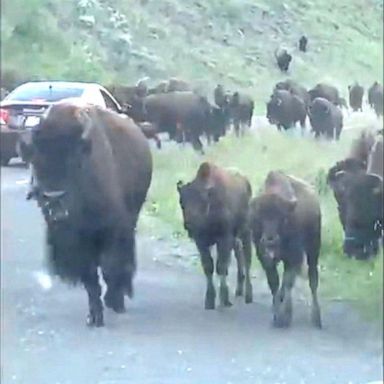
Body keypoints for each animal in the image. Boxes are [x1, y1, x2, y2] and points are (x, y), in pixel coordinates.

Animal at [28, 103, 153, 328]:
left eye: (75, 162)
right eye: (36, 160)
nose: (55, 202)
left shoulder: (111, 231)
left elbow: (110, 267)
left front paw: (113, 301)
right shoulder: (81, 244)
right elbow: (90, 278)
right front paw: (94, 316)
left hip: (132, 218)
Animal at [176, 162, 254, 308]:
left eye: (202, 199)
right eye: (182, 202)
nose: (189, 224)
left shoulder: (224, 238)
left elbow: (221, 266)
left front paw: (223, 299)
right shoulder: (201, 242)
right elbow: (208, 267)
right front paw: (209, 300)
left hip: (245, 232)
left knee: (247, 259)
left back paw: (248, 295)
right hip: (235, 238)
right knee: (239, 254)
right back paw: (239, 289)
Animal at [250, 172, 322, 328]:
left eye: (282, 217)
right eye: (259, 217)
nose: (270, 239)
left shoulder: (294, 257)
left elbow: (288, 282)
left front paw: (285, 317)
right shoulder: (265, 258)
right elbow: (274, 283)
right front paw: (277, 314)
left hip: (313, 249)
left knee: (313, 280)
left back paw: (316, 318)